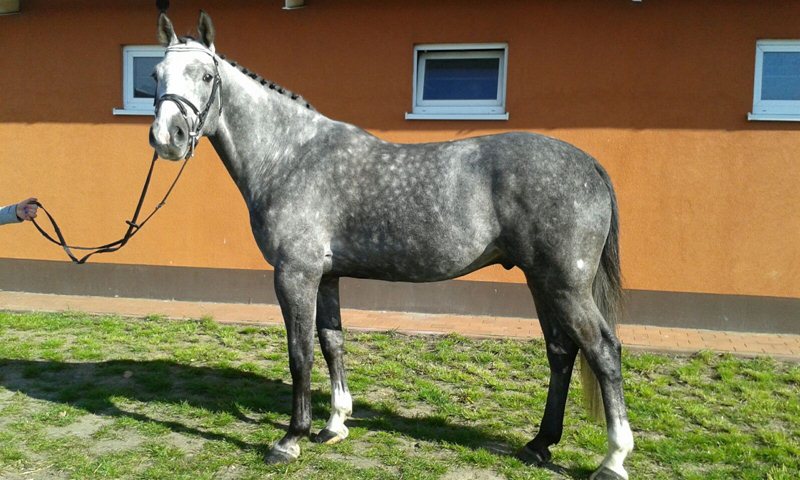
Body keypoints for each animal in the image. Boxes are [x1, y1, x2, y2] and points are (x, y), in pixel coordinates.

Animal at [150, 11, 636, 480]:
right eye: (155, 74)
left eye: (206, 76)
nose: (167, 137)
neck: (291, 156)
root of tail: (590, 164)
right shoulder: (326, 276)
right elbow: (332, 342)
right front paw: (334, 425)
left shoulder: (295, 274)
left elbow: (300, 353)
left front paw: (290, 440)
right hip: (542, 282)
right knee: (561, 352)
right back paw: (539, 444)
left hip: (565, 285)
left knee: (603, 350)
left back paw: (613, 460)